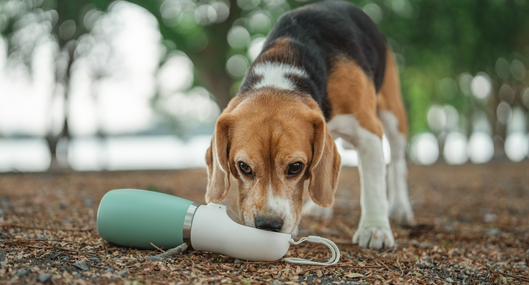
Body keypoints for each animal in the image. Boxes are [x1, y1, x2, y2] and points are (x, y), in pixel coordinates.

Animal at [204, 0, 414, 248]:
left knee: (398, 163)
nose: (268, 225)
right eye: (243, 167)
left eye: (296, 167)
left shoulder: (368, 131)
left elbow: (373, 187)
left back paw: (400, 208)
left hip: (392, 115)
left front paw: (375, 229)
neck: (284, 72)